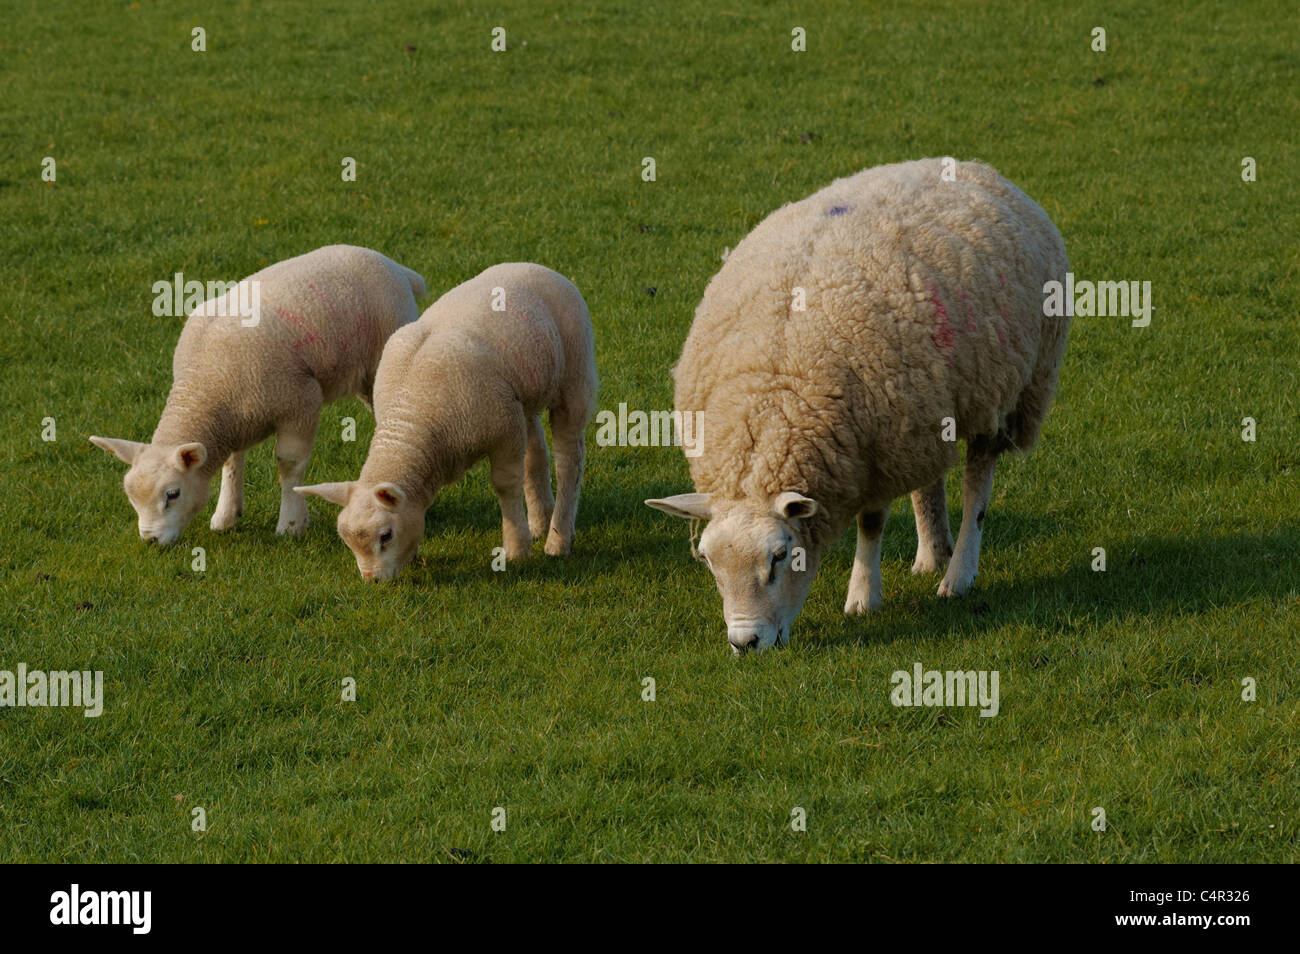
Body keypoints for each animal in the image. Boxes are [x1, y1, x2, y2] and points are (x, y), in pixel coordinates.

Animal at [90, 245, 425, 545]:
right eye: (131, 496)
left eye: (173, 494)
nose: (150, 540)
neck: (203, 386)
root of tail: (394, 266)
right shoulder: (234, 419)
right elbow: (231, 464)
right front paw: (226, 515)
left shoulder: (300, 403)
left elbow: (289, 466)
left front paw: (291, 525)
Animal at [296, 262, 597, 580]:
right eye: (348, 541)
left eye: (386, 536)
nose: (372, 581)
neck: (413, 416)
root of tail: (536, 266)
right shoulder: (511, 417)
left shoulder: (504, 431)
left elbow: (506, 486)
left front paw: (516, 550)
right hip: (524, 397)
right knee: (537, 455)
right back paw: (540, 522)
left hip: (574, 377)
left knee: (569, 461)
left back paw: (558, 539)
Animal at [646, 158, 1070, 653]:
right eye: (709, 562)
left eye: (781, 556)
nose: (745, 643)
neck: (776, 400)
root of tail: (972, 167)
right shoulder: (888, 438)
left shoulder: (876, 450)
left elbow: (870, 522)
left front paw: (863, 597)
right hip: (924, 406)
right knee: (929, 482)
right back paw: (932, 554)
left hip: (1002, 390)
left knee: (976, 485)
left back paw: (958, 573)